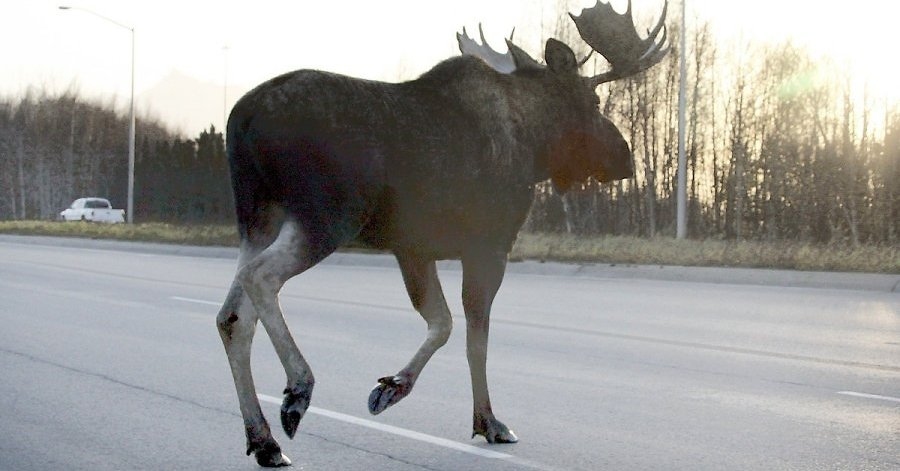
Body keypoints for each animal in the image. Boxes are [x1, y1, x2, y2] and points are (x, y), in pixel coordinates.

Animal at [218, 0, 668, 468]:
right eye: (593, 100)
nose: (625, 158)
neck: (536, 146)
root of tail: (241, 119)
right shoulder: (488, 245)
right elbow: (473, 336)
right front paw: (487, 421)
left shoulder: (415, 249)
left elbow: (442, 323)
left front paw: (391, 387)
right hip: (324, 217)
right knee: (260, 278)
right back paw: (297, 392)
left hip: (258, 218)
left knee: (233, 317)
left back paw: (264, 441)